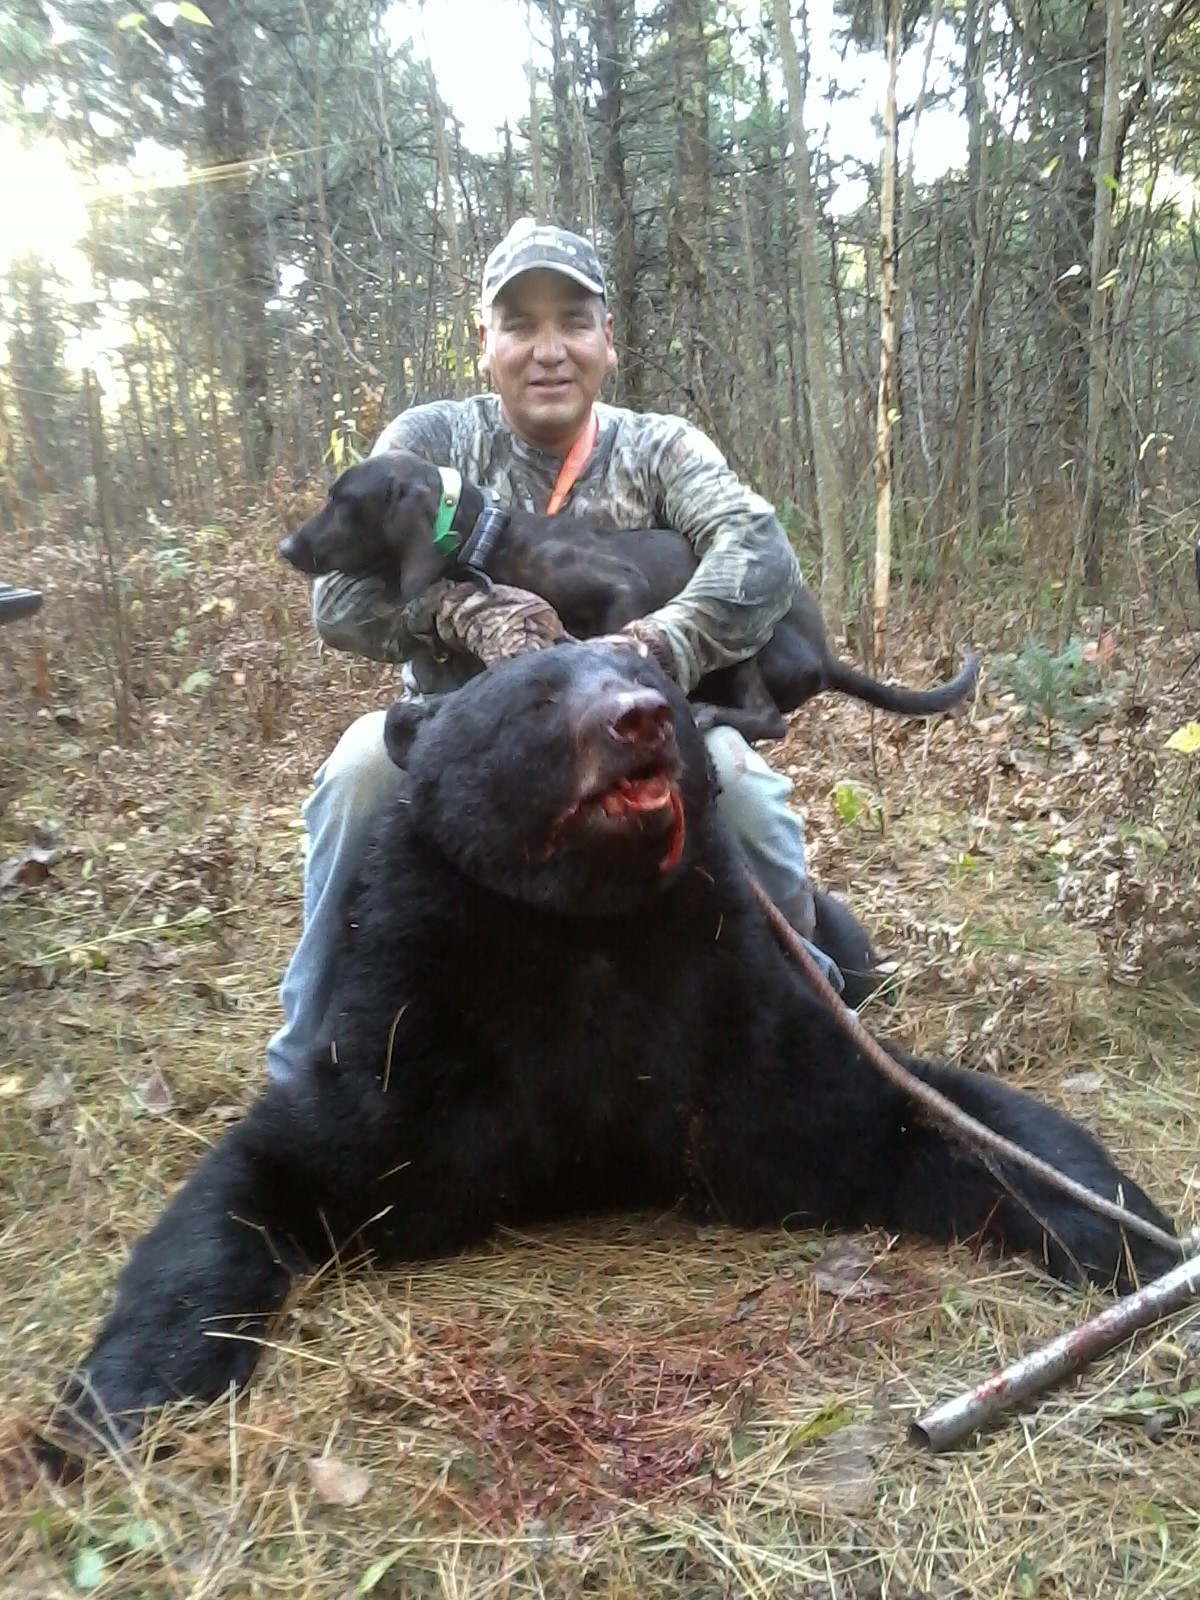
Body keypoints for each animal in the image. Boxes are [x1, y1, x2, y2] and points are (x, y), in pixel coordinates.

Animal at [38, 640, 1176, 1472]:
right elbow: (264, 1174)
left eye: (650, 675)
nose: (639, 719)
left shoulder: (732, 1033)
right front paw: (115, 1405)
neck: (585, 941)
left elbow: (928, 1114)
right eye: (537, 698)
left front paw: (1132, 1230)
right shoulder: (418, 1056)